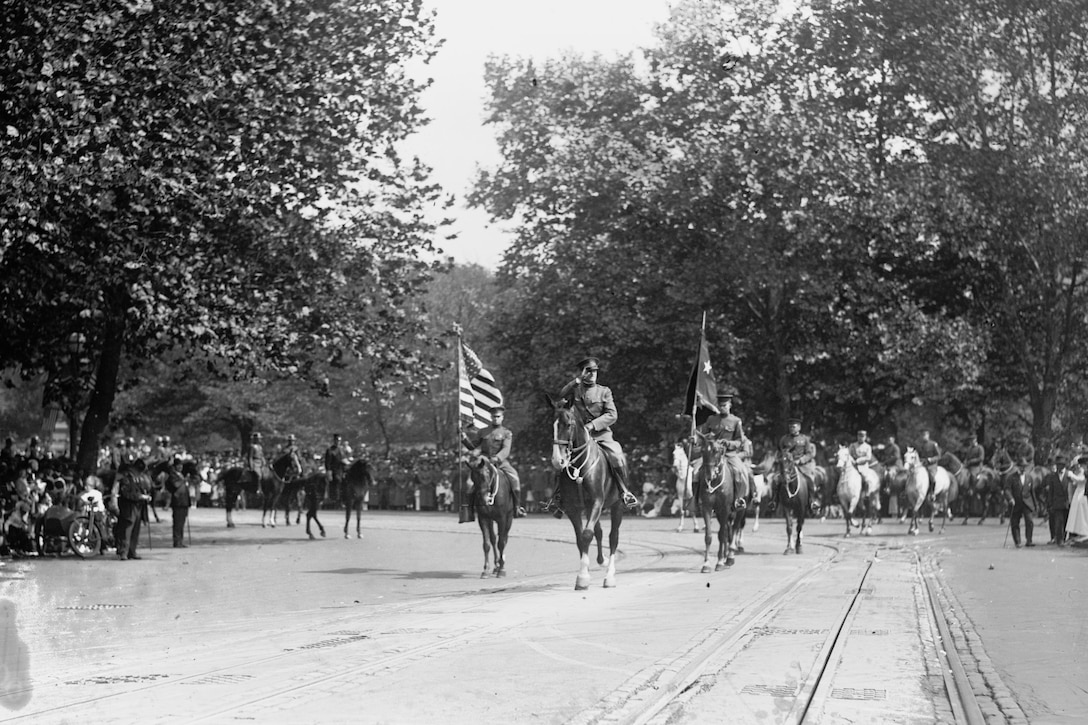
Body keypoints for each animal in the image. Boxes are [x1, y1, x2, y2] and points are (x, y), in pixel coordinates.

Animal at [548, 389, 626, 587]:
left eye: (568, 424)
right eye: (552, 426)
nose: (557, 461)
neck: (580, 465)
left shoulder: (597, 501)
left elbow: (587, 534)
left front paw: (583, 576)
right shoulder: (573, 508)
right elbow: (580, 538)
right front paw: (584, 574)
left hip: (616, 506)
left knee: (613, 537)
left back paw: (609, 575)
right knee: (599, 532)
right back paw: (601, 560)